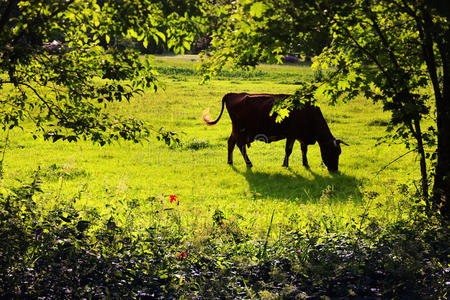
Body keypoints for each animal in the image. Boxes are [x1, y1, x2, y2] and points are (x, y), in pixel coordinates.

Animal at [204, 92, 348, 171]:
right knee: (240, 145)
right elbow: (288, 150)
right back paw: (249, 163)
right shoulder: (292, 134)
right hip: (241, 130)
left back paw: (230, 162)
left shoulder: (302, 136)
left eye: (339, 152)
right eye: (333, 152)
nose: (335, 170)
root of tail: (232, 94)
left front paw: (305, 164)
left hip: (236, 130)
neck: (309, 112)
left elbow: (304, 149)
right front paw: (285, 164)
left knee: (231, 143)